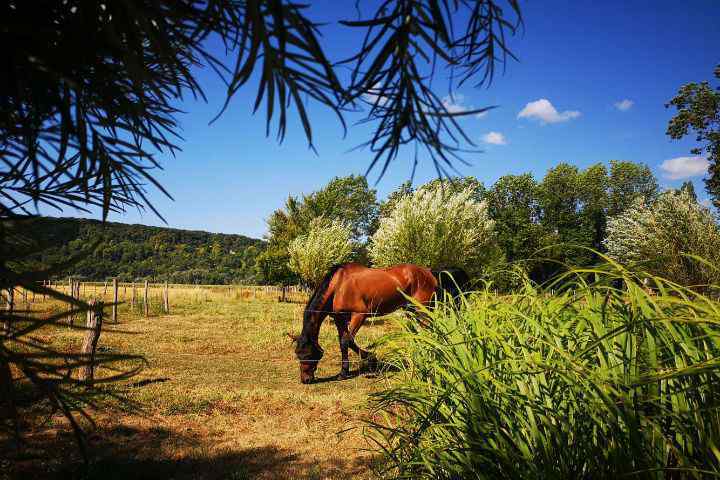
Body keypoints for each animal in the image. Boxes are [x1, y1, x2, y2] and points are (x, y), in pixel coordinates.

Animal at [290, 260, 470, 384]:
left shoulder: (360, 315)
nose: (305, 380)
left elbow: (348, 341)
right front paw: (345, 371)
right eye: (297, 354)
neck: (339, 285)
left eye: (308, 354)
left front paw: (370, 359)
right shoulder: (339, 319)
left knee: (430, 331)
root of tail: (430, 273)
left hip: (422, 310)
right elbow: (344, 342)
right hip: (412, 311)